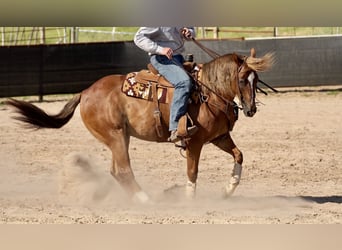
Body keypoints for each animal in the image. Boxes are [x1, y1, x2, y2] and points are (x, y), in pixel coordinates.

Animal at [5, 48, 274, 203]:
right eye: (242, 80)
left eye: (256, 79)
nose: (251, 110)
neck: (209, 92)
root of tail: (85, 92)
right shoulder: (195, 142)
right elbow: (192, 172)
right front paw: (190, 201)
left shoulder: (219, 137)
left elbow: (239, 155)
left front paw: (228, 189)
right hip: (115, 136)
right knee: (124, 170)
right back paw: (145, 199)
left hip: (121, 137)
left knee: (116, 171)